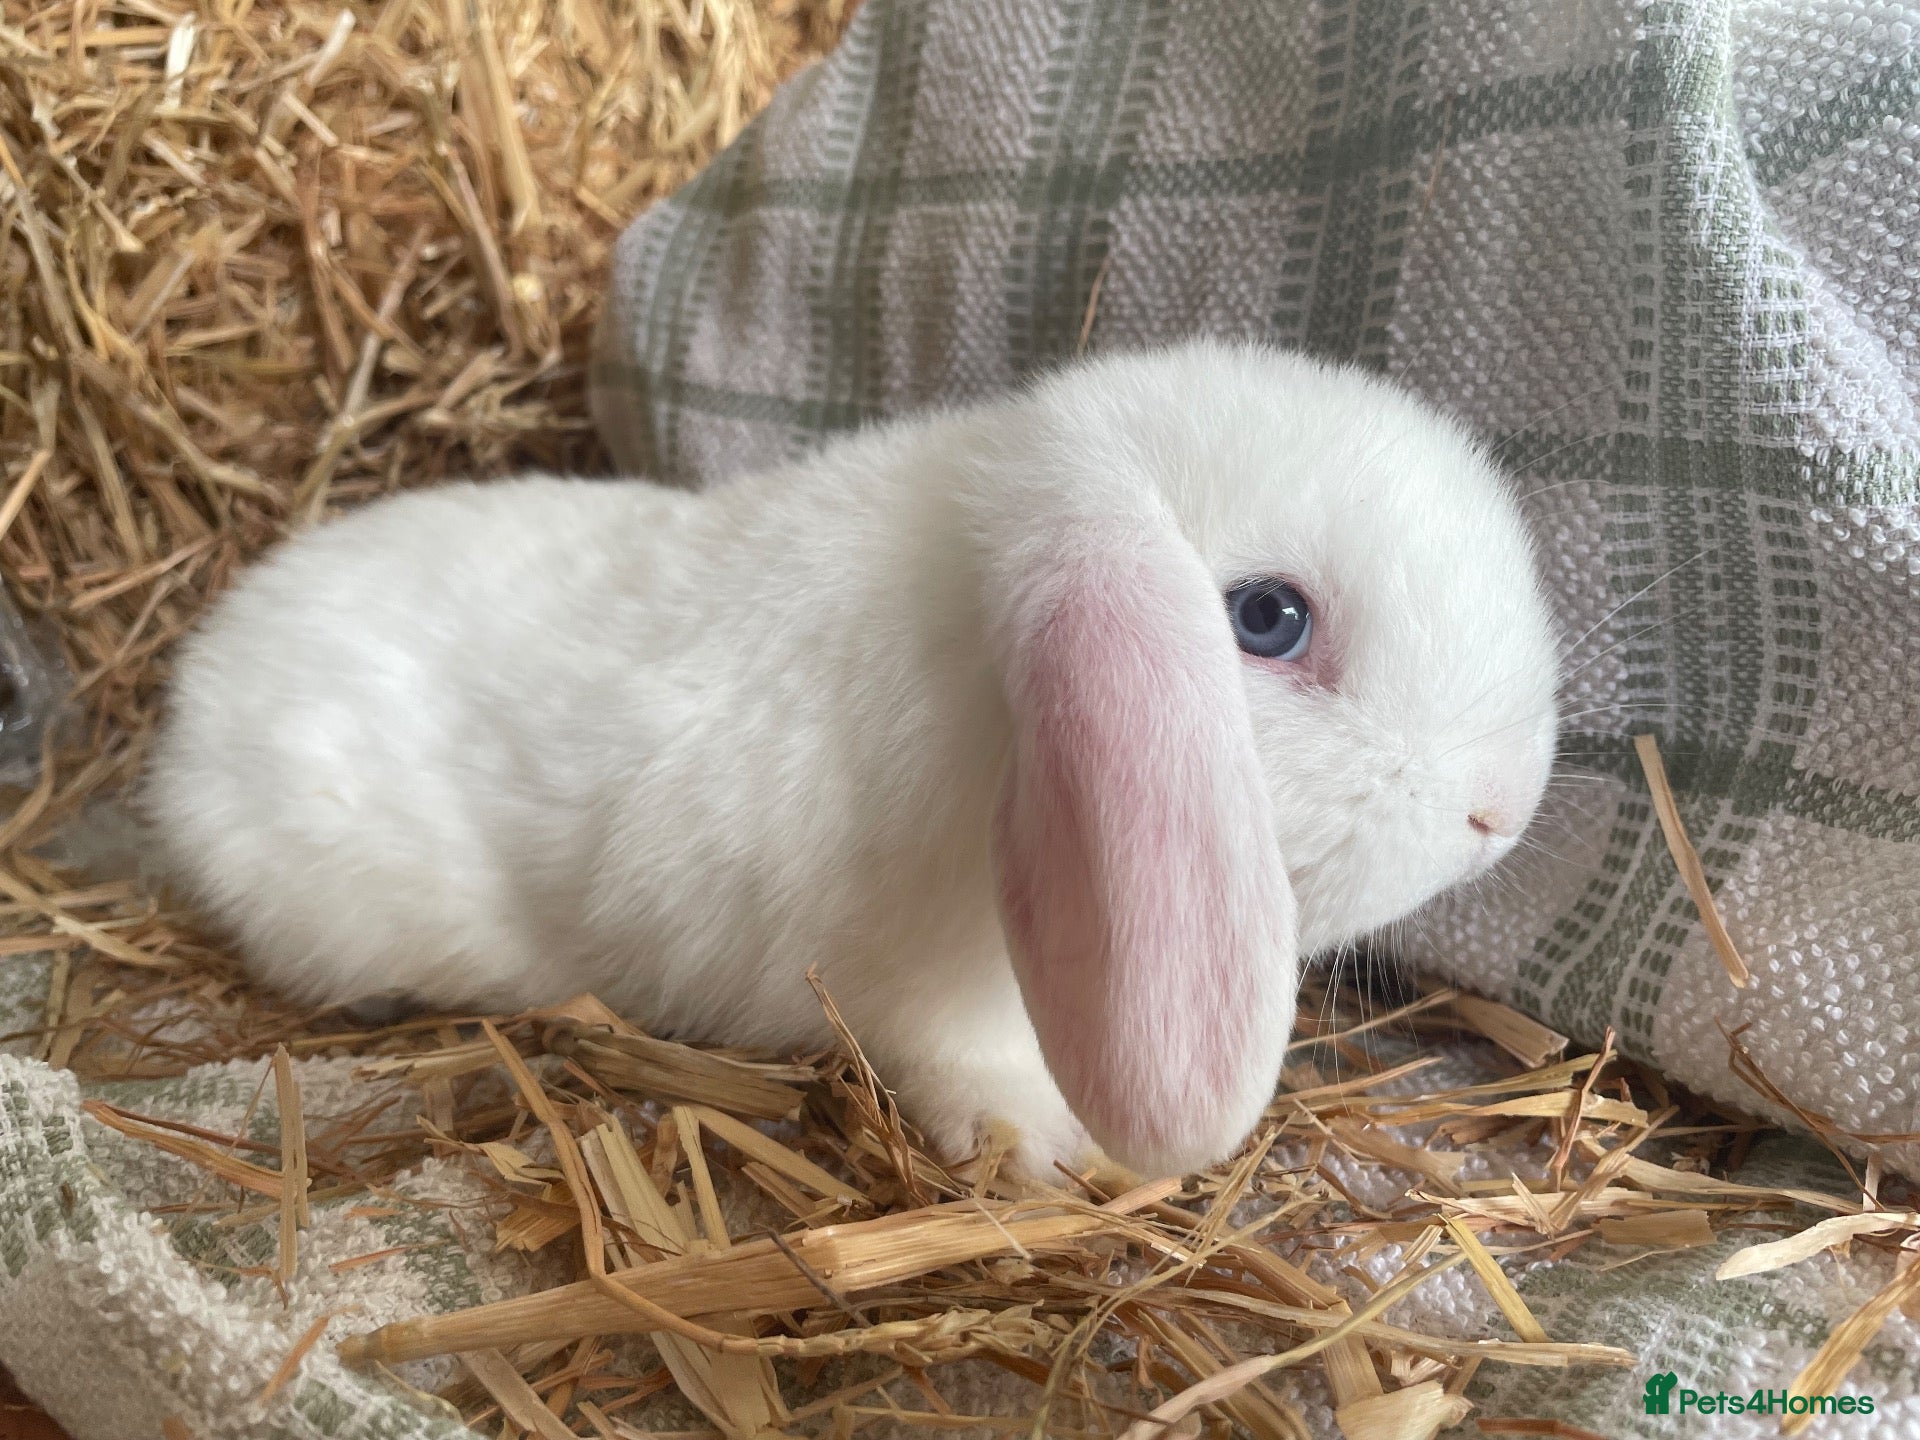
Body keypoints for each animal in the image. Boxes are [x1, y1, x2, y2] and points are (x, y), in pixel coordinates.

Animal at [144, 339, 1560, 1181]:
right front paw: (1051, 1154)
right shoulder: (917, 997)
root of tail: (193, 703)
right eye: (1267, 619)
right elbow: (962, 1070)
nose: (1503, 809)